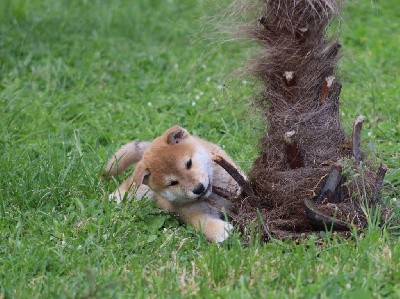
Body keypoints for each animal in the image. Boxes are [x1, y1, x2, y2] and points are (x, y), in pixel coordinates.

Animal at [103, 125, 242, 243]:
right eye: (173, 183)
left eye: (189, 163)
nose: (198, 188)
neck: (214, 196)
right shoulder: (190, 212)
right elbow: (203, 223)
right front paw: (220, 231)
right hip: (140, 190)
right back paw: (114, 198)